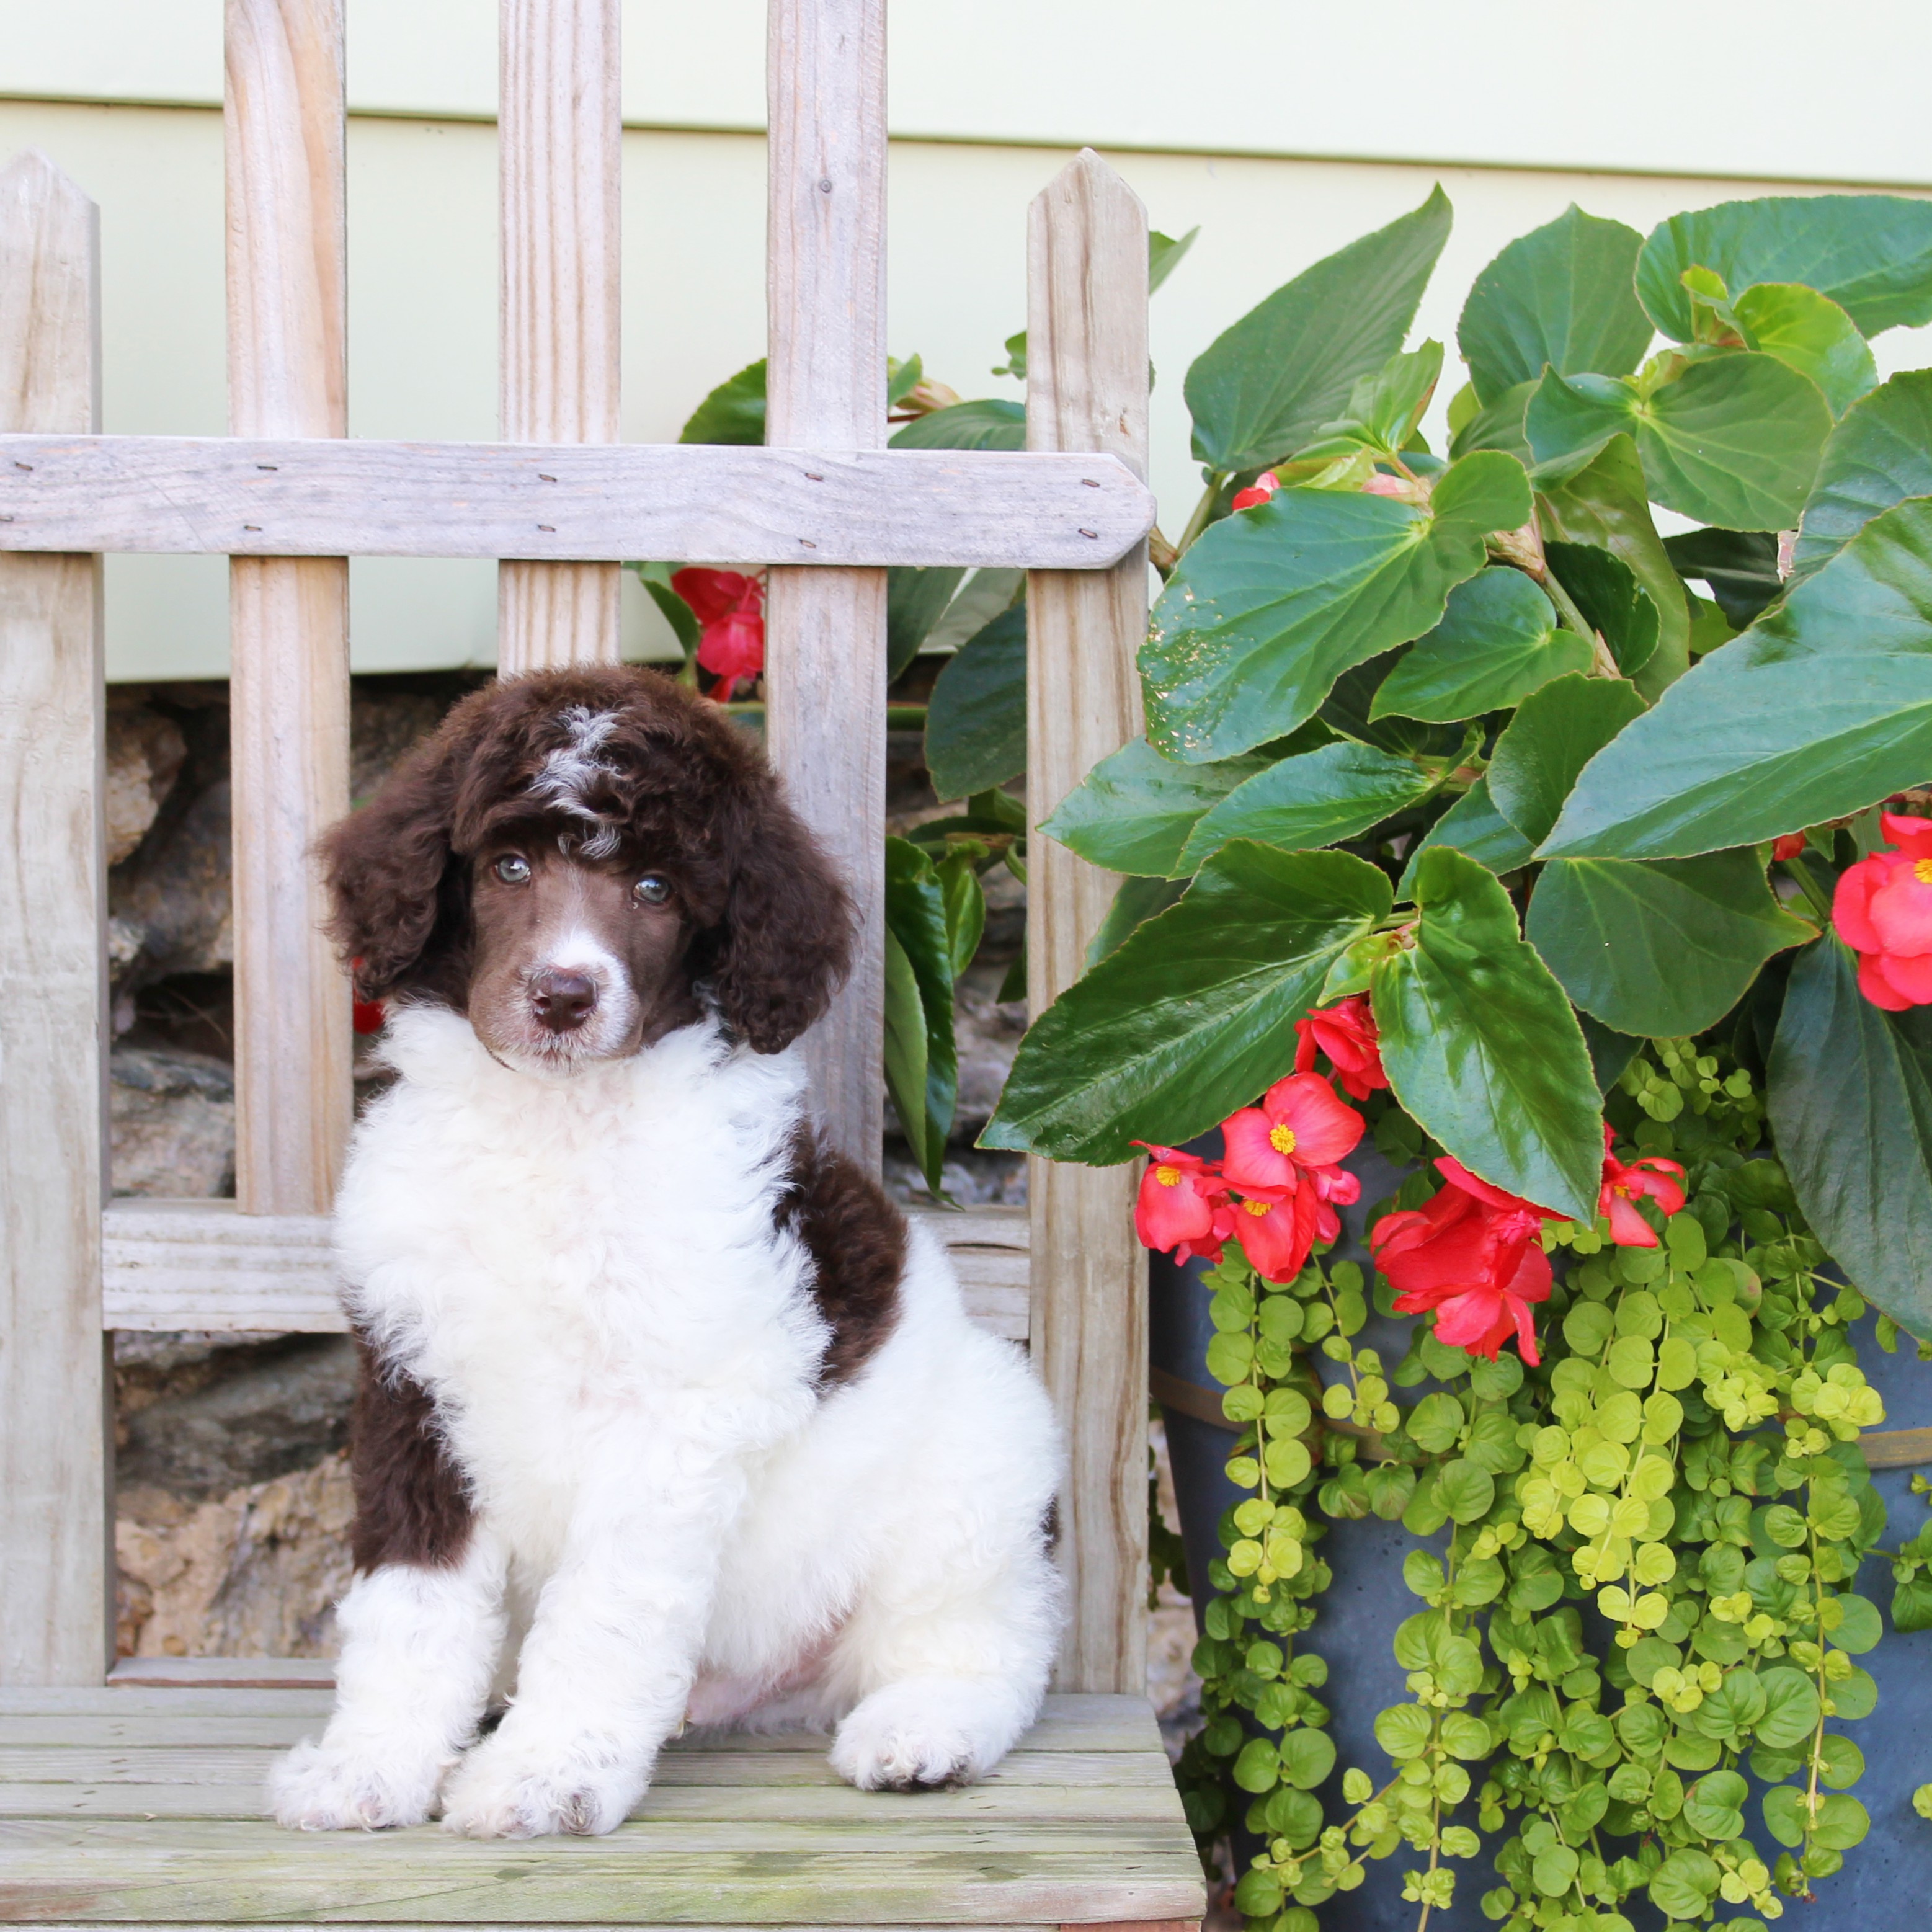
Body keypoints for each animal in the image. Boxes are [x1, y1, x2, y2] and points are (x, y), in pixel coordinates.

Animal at [266, 668, 1066, 1839]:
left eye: (653, 888)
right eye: (508, 867)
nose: (563, 995)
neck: (554, 1127)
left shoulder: (674, 1410)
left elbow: (603, 1606)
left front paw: (543, 1776)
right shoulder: (413, 1383)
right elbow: (411, 1600)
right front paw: (370, 1765)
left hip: (980, 1461)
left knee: (983, 1639)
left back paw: (922, 1730)